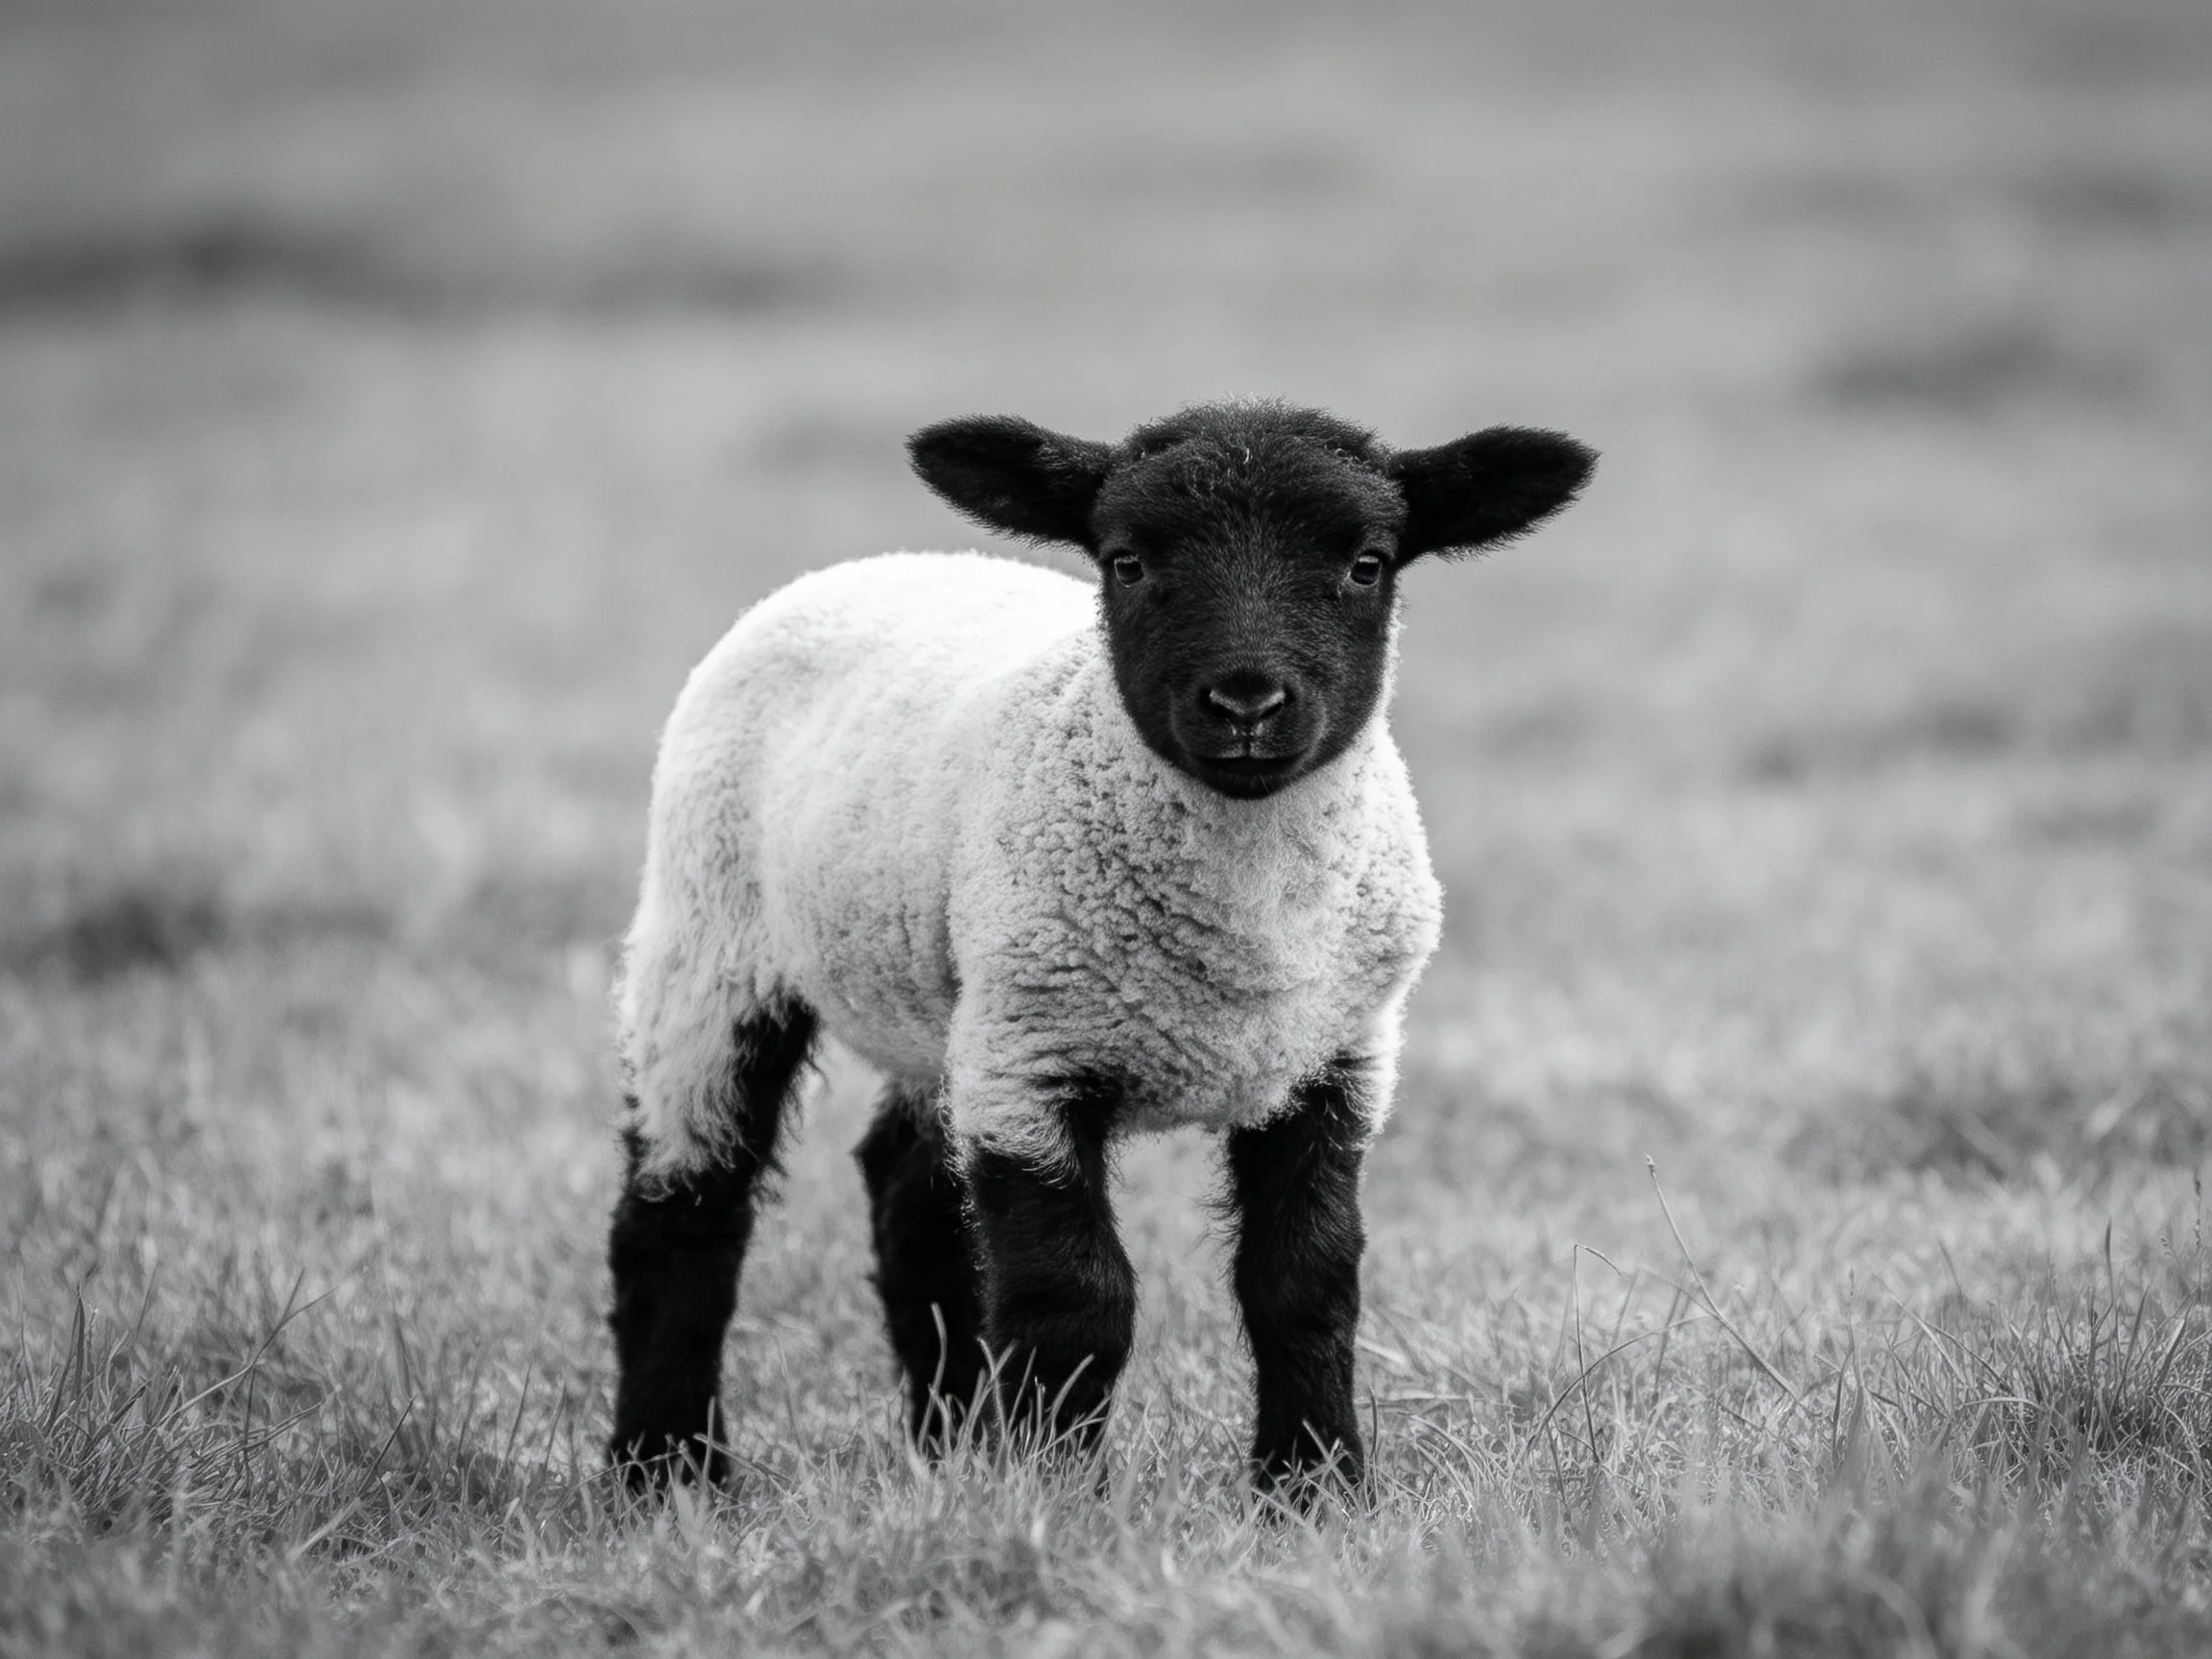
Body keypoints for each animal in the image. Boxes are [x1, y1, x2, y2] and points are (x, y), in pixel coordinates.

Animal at [607, 400, 1595, 1496]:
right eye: (1126, 561)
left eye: (1367, 563)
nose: (1246, 703)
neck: (1244, 948)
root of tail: (873, 564)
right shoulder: (1032, 1061)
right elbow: (1076, 1301)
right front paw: (1055, 1492)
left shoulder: (1337, 1058)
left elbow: (1305, 1282)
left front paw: (1314, 1486)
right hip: (711, 938)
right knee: (683, 1206)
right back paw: (667, 1469)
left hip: (942, 1005)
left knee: (908, 1193)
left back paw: (949, 1440)